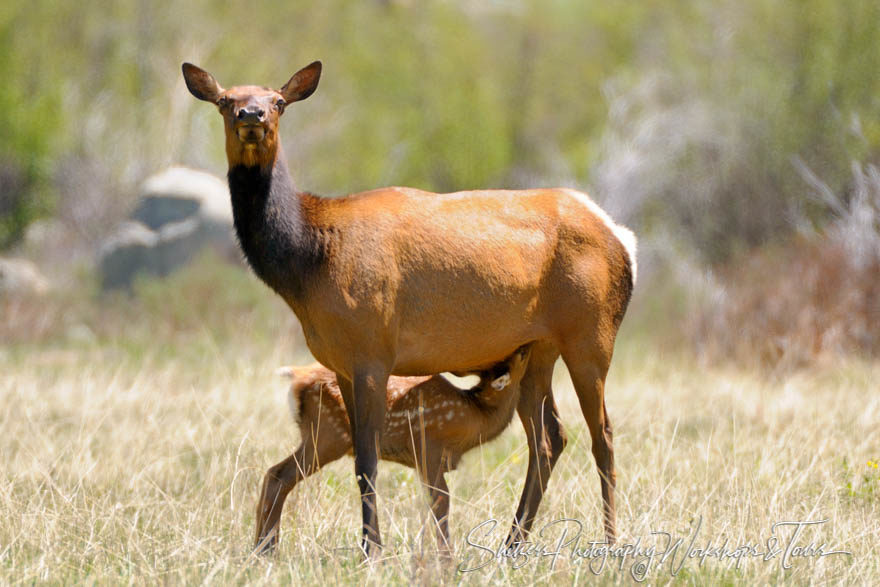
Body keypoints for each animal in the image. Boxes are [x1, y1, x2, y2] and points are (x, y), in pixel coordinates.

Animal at [254, 344, 528, 552]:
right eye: (517, 357)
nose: (525, 346)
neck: (473, 416)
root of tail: (297, 376)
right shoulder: (428, 450)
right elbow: (441, 501)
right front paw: (446, 559)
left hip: (317, 437)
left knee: (273, 475)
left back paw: (262, 550)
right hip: (327, 436)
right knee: (280, 475)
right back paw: (266, 549)